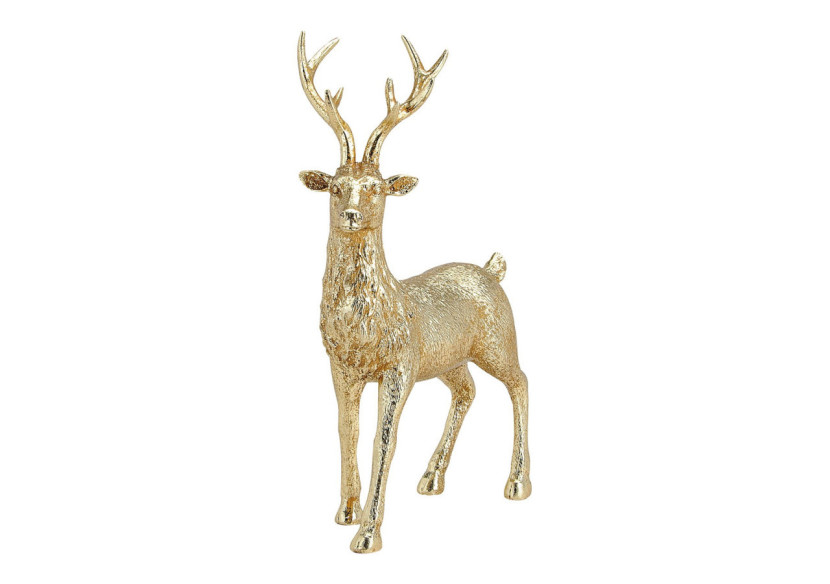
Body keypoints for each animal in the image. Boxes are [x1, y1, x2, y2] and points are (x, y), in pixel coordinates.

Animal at [297, 32, 531, 553]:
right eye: (335, 186)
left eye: (377, 188)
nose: (351, 214)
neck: (367, 321)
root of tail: (493, 271)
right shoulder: (341, 366)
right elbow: (346, 429)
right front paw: (345, 511)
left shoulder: (400, 366)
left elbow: (384, 439)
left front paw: (367, 532)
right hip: (449, 359)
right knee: (467, 391)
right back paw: (432, 476)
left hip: (498, 341)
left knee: (521, 383)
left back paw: (517, 483)